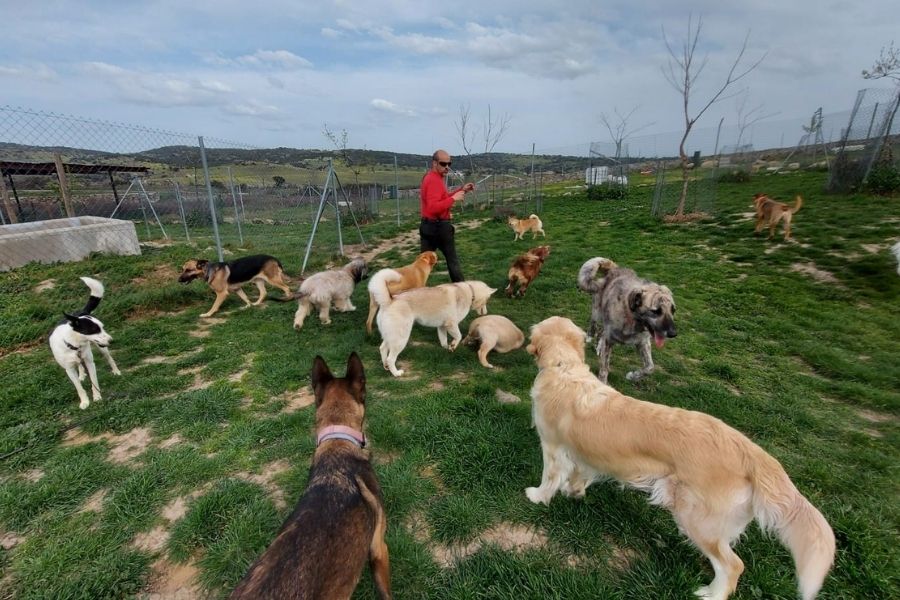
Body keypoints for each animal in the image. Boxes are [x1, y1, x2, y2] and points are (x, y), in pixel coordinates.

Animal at [368, 270, 500, 378]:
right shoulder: (452, 324)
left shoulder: (442, 327)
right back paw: (396, 373)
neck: (469, 291)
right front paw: (453, 345)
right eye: (487, 300)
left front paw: (447, 348)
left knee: (382, 349)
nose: (486, 313)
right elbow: (458, 336)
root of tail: (389, 300)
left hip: (391, 336)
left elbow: (443, 340)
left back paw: (385, 366)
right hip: (400, 339)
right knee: (391, 358)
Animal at [528, 316, 836, 600]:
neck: (564, 367)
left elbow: (550, 477)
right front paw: (574, 492)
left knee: (733, 566)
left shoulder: (552, 446)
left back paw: (711, 594)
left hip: (696, 518)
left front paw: (538, 496)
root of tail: (752, 453)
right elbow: (579, 475)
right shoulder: (584, 454)